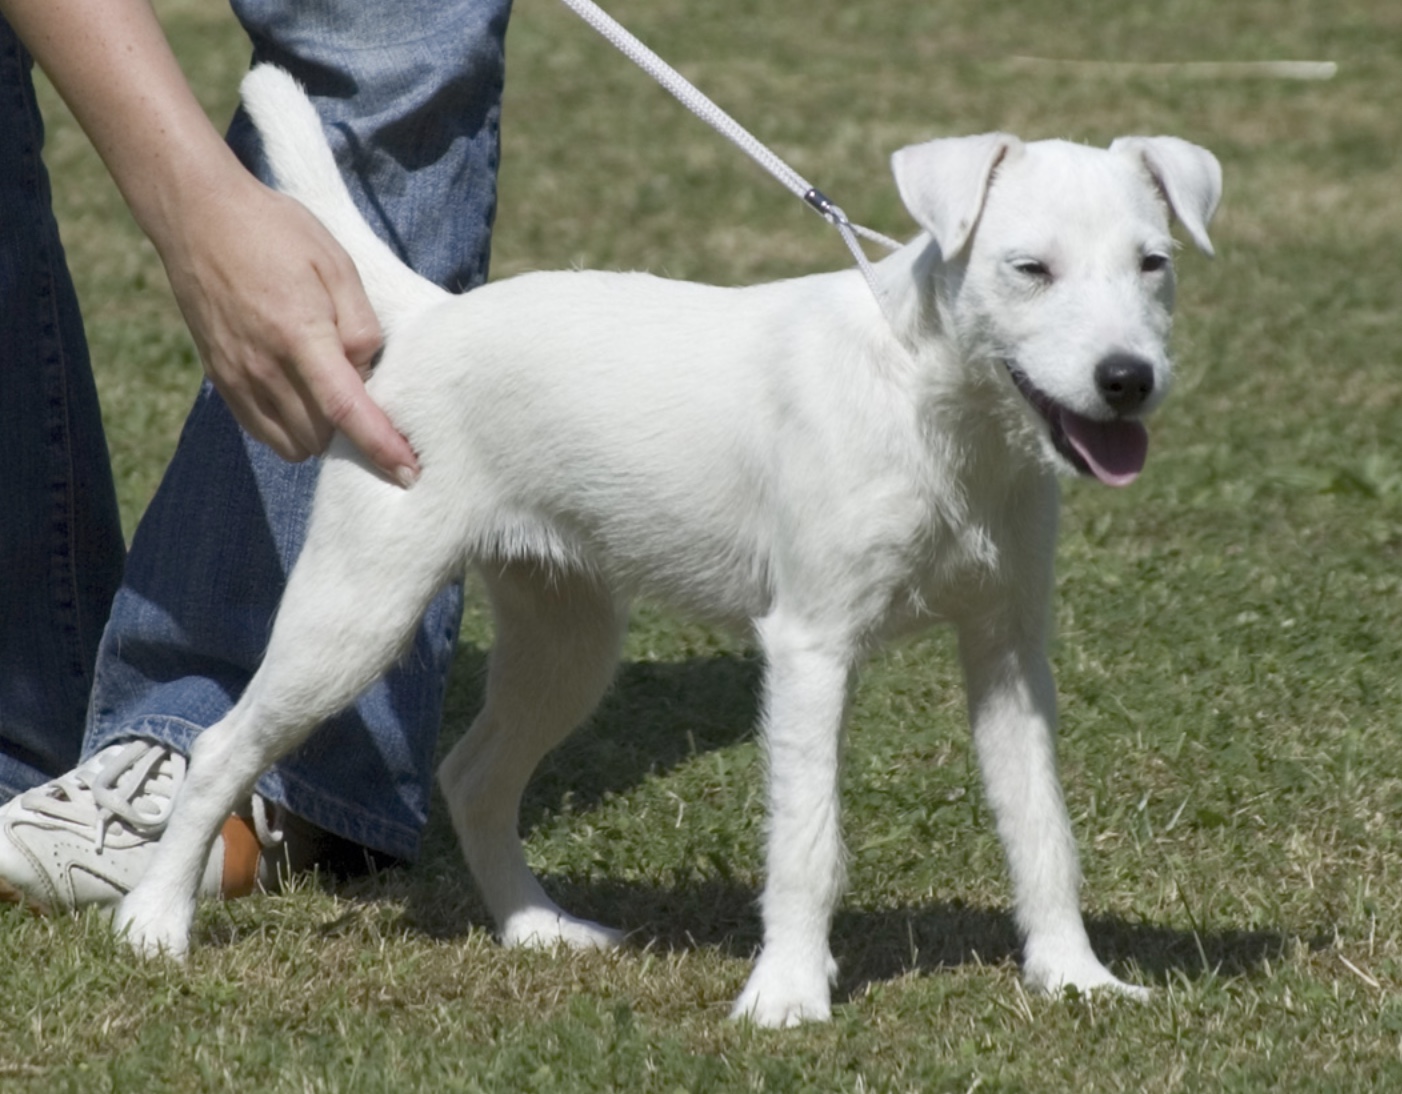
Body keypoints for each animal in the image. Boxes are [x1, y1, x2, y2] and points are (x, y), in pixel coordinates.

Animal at [114, 66, 1222, 1026]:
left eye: (1153, 264)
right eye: (1028, 269)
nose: (1126, 379)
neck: (929, 400)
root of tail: (430, 316)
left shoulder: (1006, 650)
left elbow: (1041, 828)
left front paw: (1074, 977)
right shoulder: (811, 646)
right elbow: (806, 841)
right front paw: (787, 994)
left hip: (564, 639)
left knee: (475, 777)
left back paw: (537, 926)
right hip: (358, 606)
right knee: (225, 744)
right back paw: (156, 922)